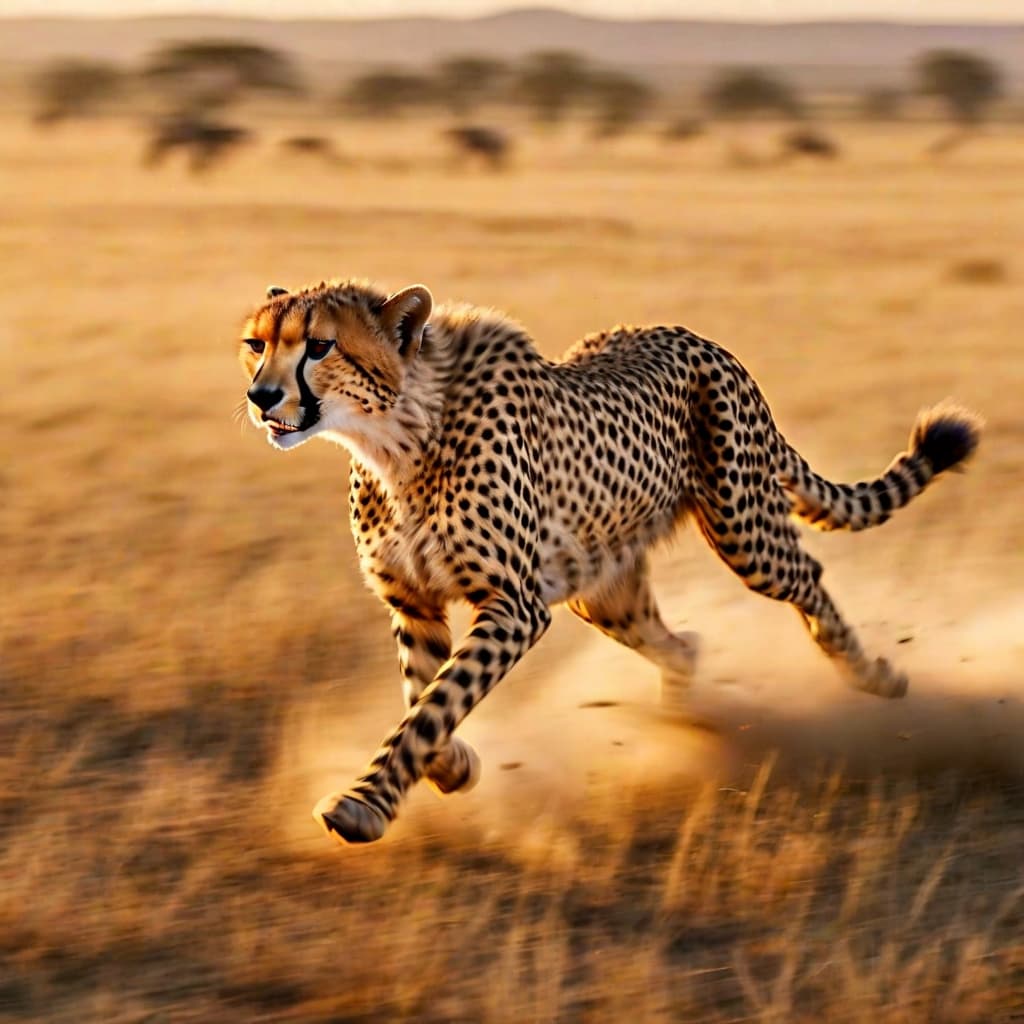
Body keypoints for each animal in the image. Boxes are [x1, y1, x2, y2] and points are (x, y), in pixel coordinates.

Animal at [238, 278, 981, 845]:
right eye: (257, 345)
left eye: (321, 345)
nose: (261, 396)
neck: (397, 438)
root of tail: (701, 339)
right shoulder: (413, 600)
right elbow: (422, 694)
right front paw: (454, 768)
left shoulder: (515, 606)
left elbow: (433, 705)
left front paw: (362, 805)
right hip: (600, 591)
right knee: (683, 643)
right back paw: (687, 730)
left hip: (742, 531)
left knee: (810, 581)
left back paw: (876, 674)